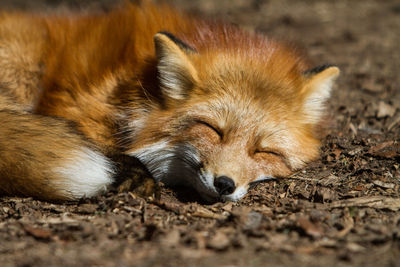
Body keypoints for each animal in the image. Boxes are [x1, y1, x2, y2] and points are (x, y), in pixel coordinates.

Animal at [0, 0, 340, 203]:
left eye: (264, 151)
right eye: (212, 129)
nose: (225, 184)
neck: (140, 86)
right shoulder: (77, 107)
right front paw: (135, 175)